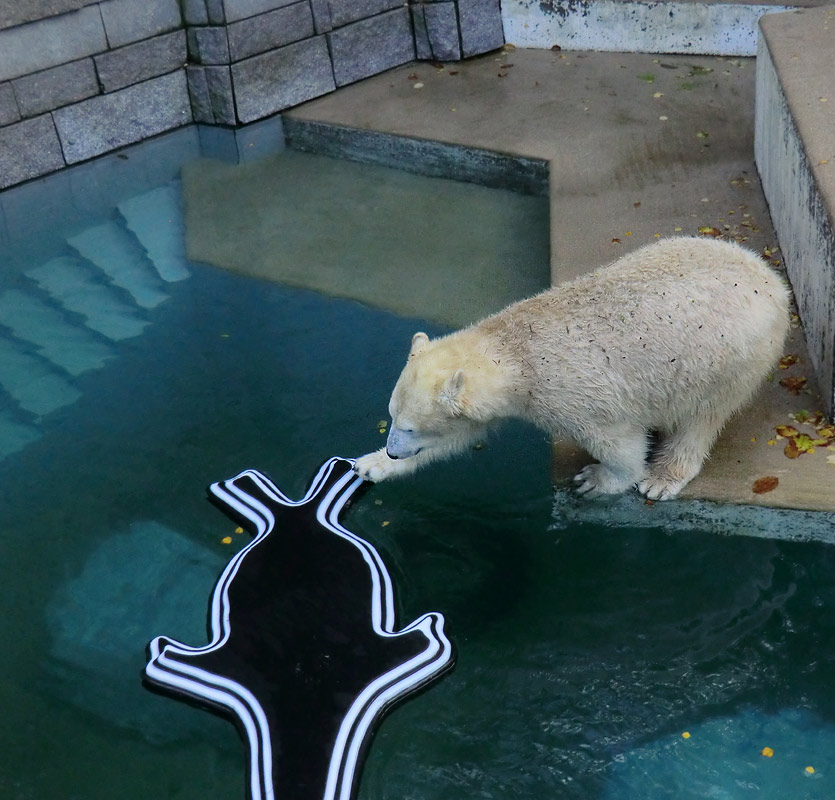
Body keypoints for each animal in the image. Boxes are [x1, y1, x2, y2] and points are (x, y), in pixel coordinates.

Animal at [352, 238, 792, 500]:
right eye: (392, 417)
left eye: (410, 428)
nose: (393, 450)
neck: (515, 351)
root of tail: (770, 278)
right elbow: (460, 436)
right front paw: (370, 464)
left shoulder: (576, 399)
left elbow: (621, 447)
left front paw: (595, 480)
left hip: (730, 358)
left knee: (702, 417)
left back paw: (663, 478)